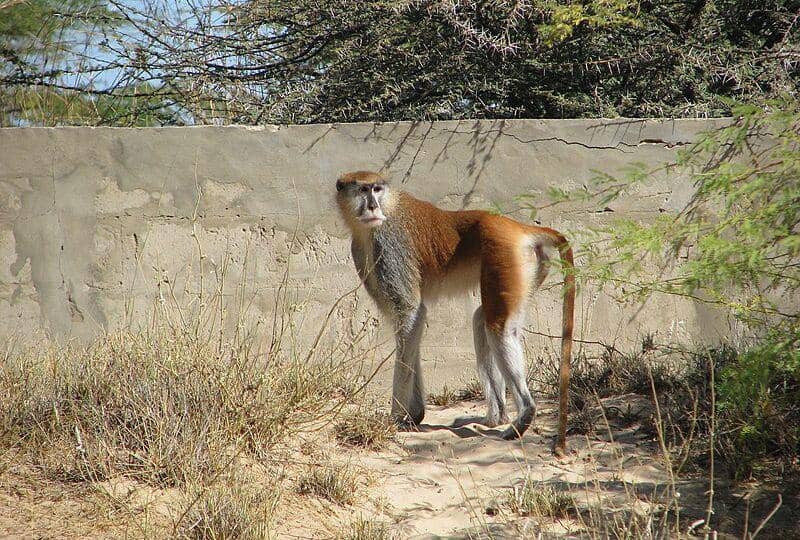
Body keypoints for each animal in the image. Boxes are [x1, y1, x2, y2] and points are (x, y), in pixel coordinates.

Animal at [335, 171, 575, 456]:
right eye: (363, 190)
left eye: (377, 189)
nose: (373, 207)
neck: (389, 208)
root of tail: (518, 227)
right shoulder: (363, 252)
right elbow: (411, 327)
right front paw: (414, 414)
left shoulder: (389, 247)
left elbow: (410, 313)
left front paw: (395, 418)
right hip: (529, 265)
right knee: (482, 321)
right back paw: (496, 417)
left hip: (504, 255)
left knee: (498, 328)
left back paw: (523, 415)